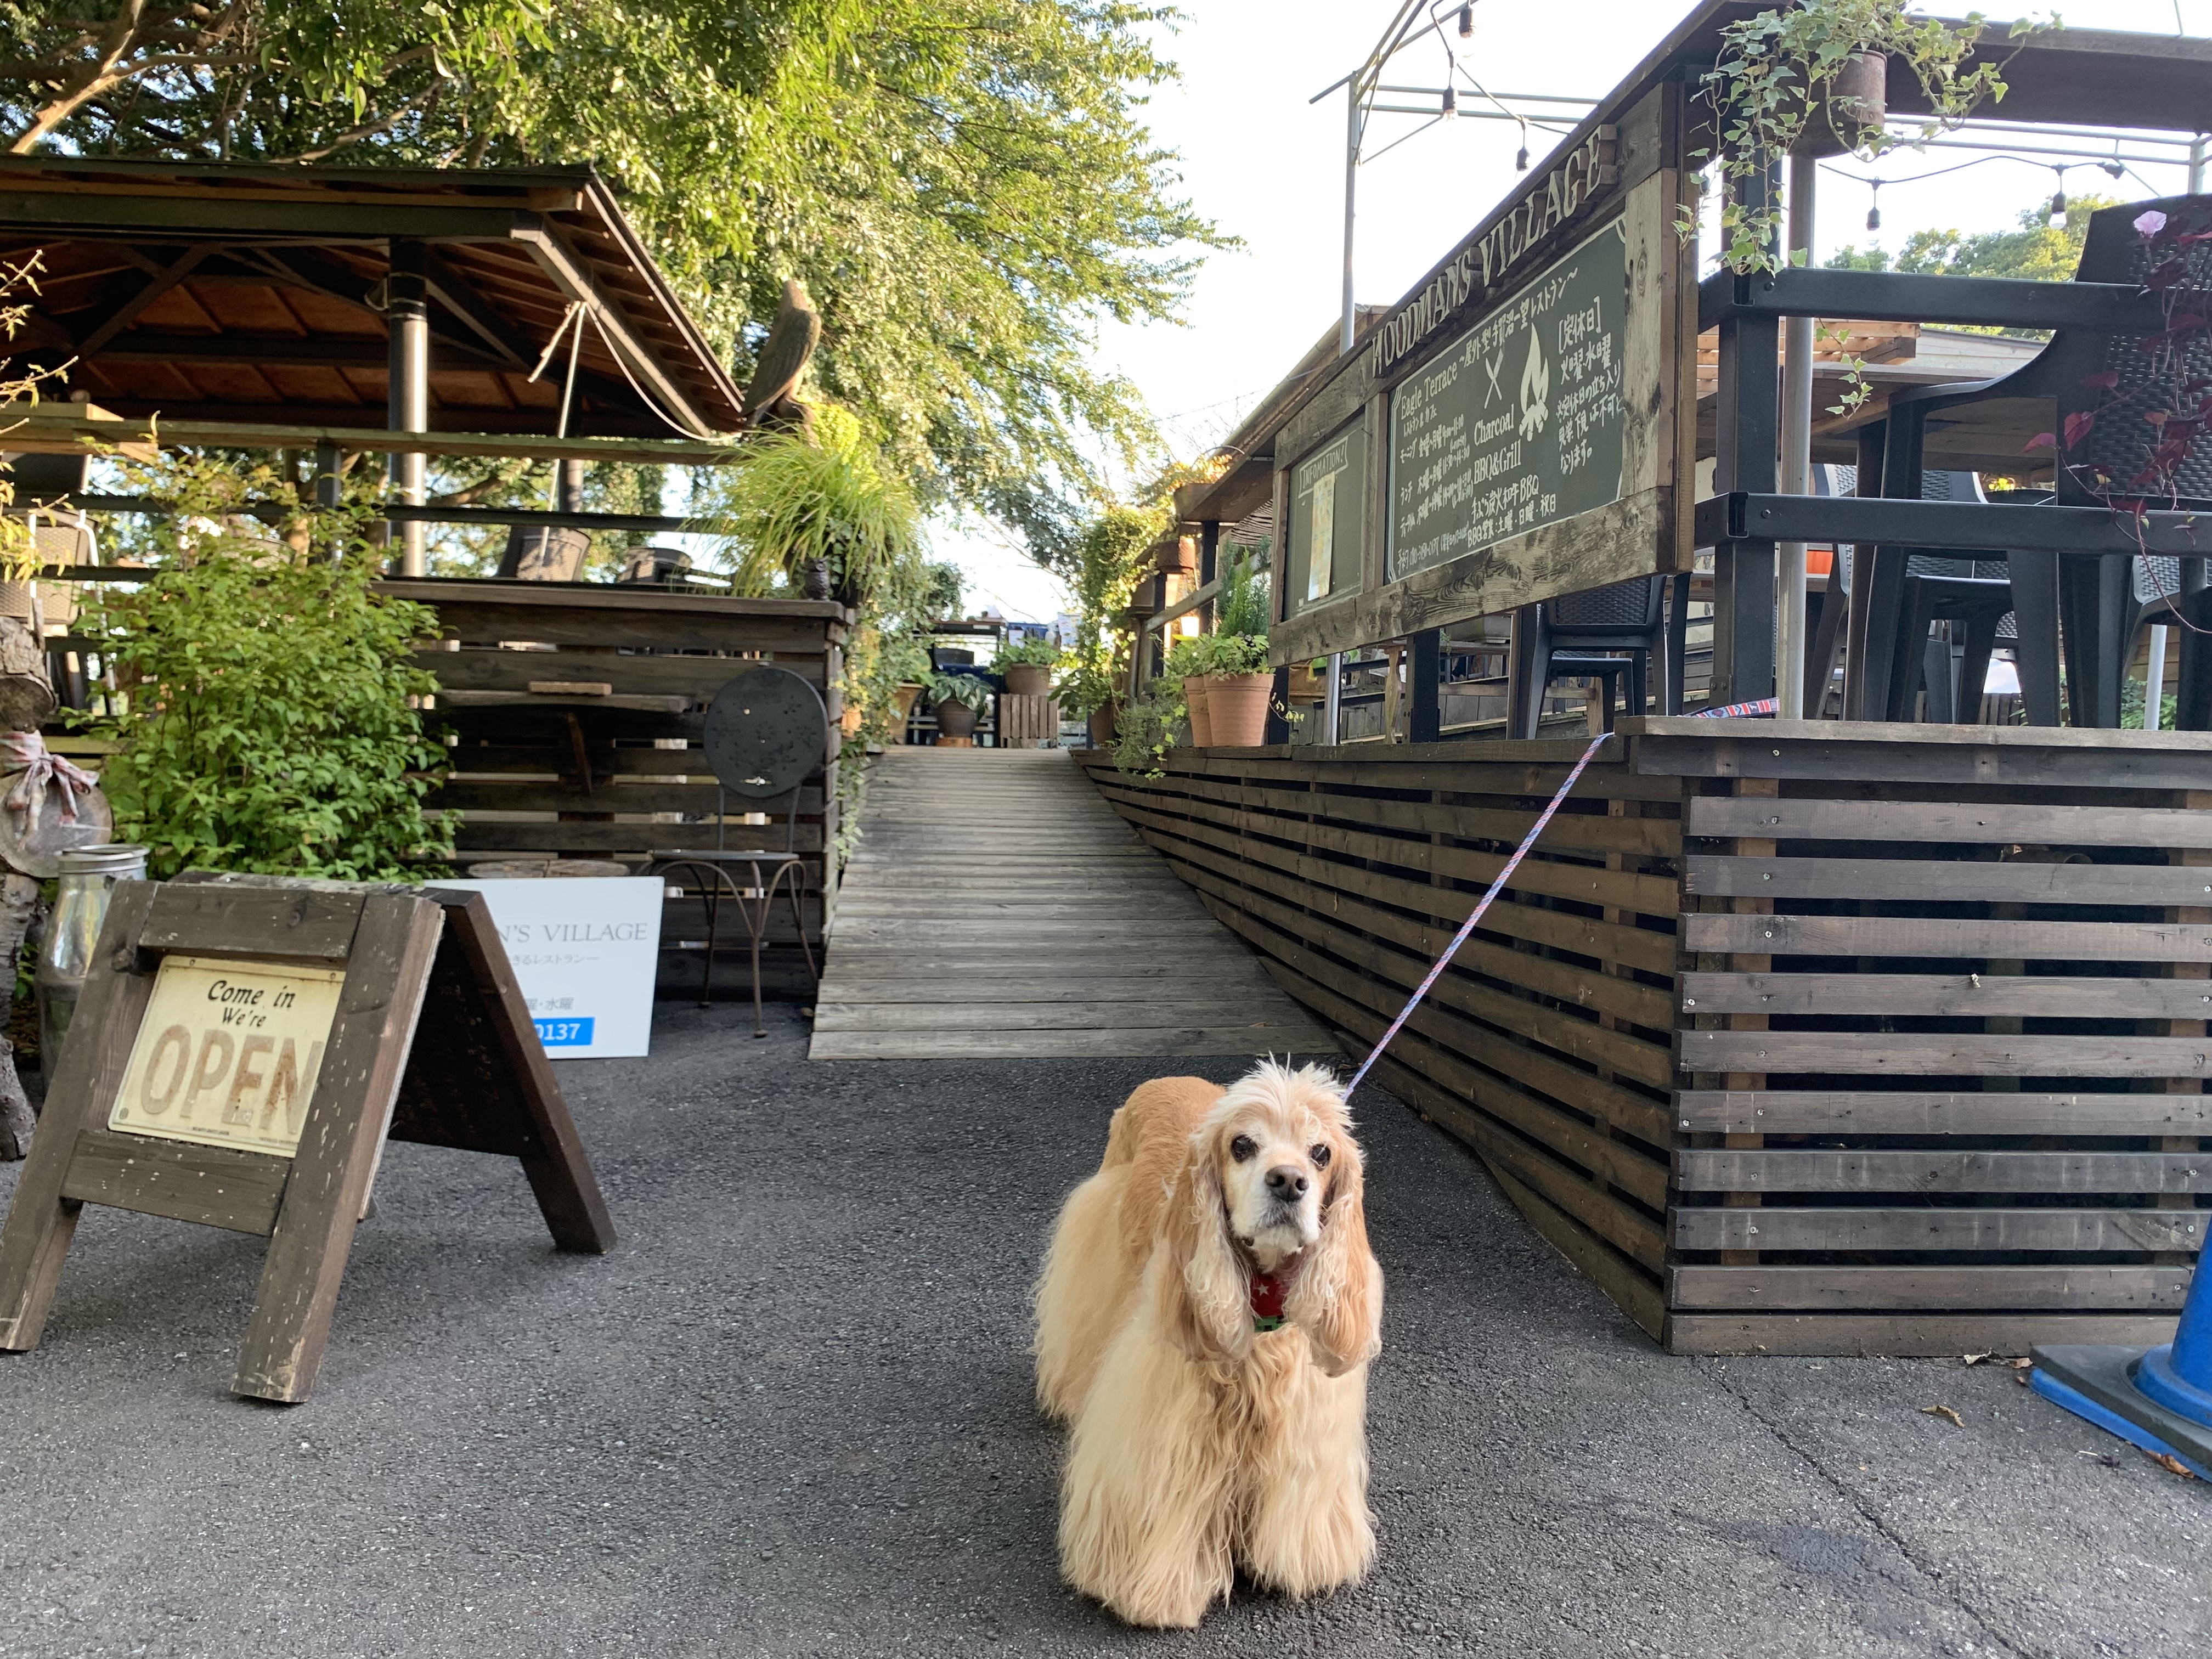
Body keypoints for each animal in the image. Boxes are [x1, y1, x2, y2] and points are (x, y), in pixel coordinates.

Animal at [1026, 1066, 1371, 1628]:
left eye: (1321, 1153)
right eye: (1241, 1145)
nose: (1289, 1181)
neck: (1262, 1313)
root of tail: (1169, 1076)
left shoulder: (1302, 1428)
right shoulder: (1171, 1426)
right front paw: (1156, 1592)